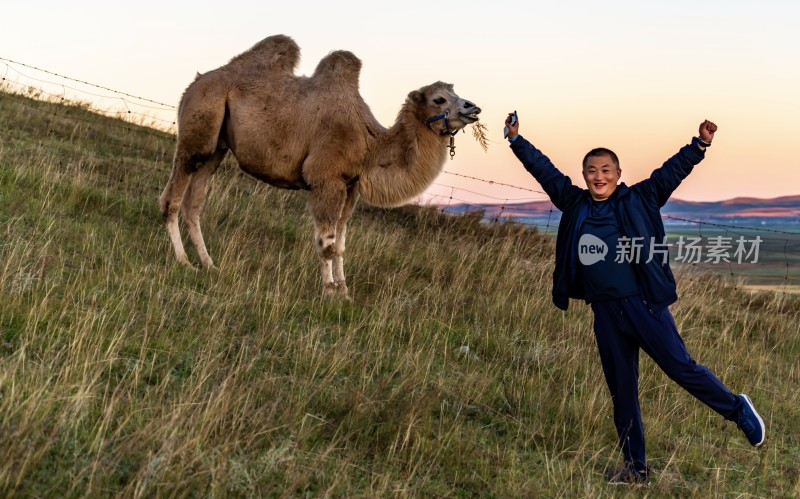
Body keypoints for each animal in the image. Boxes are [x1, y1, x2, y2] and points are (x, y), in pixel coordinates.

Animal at [159, 37, 478, 298]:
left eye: (455, 93)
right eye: (439, 98)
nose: (472, 107)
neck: (369, 144)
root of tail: (198, 81)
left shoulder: (351, 187)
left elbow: (341, 244)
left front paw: (345, 292)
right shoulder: (326, 179)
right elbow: (327, 243)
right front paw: (328, 291)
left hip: (217, 147)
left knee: (193, 204)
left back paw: (209, 264)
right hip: (199, 127)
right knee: (171, 199)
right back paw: (183, 262)